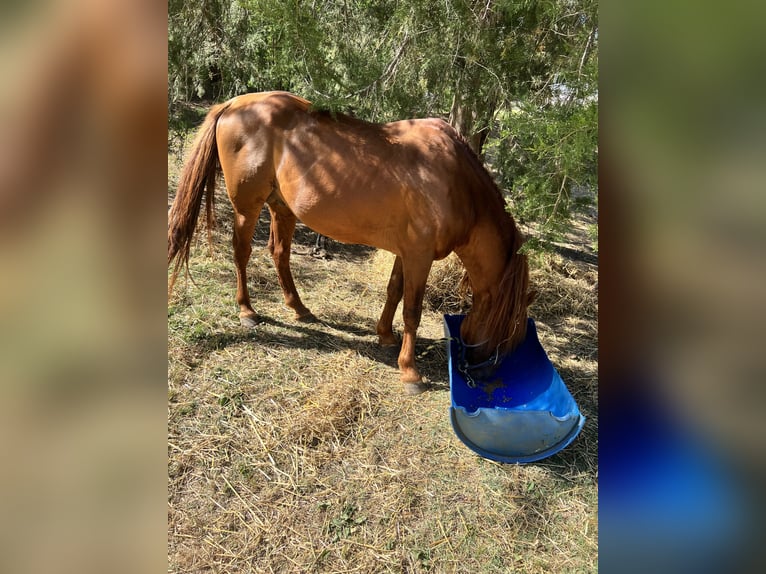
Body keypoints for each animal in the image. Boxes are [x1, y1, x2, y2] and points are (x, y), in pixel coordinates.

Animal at [168, 91, 533, 395]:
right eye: (510, 329)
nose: (482, 373)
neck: (455, 182)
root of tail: (234, 104)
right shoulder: (420, 256)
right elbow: (412, 310)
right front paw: (410, 372)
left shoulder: (407, 252)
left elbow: (394, 291)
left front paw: (385, 335)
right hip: (247, 207)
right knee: (242, 252)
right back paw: (247, 310)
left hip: (281, 207)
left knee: (279, 253)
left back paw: (299, 309)